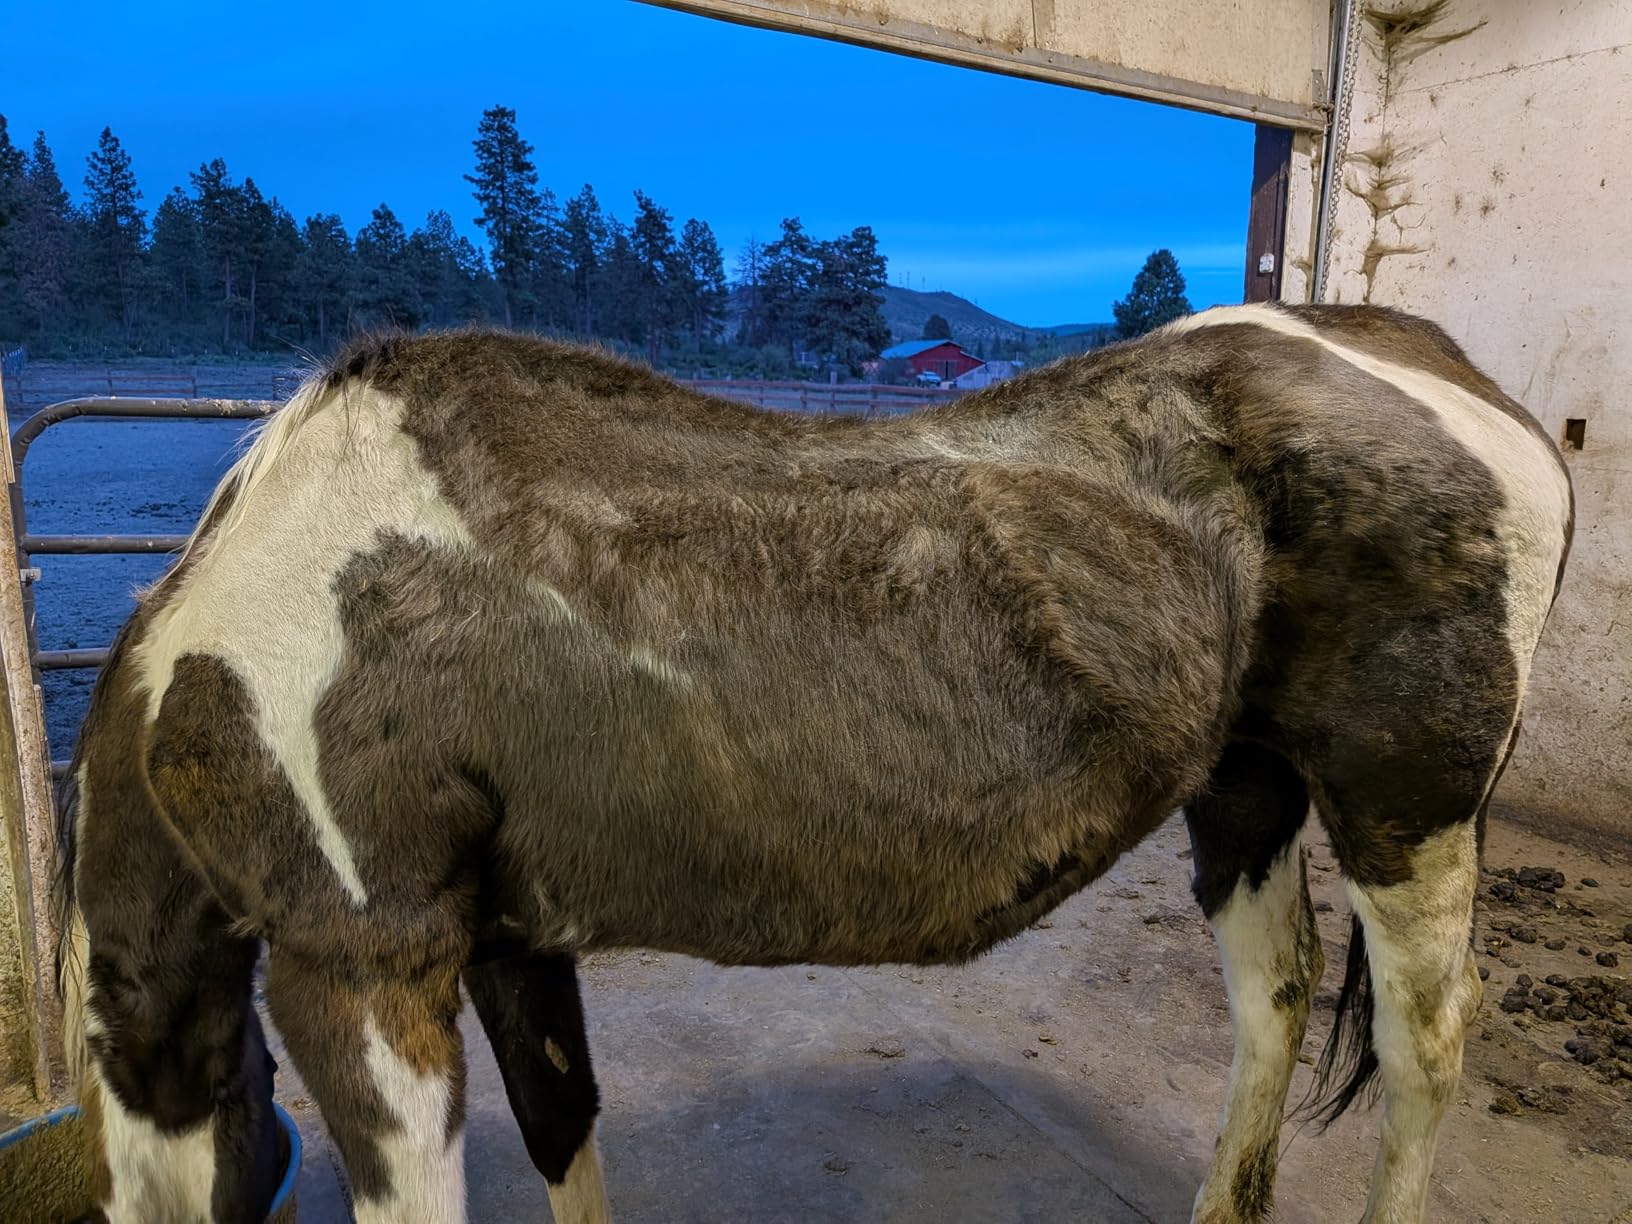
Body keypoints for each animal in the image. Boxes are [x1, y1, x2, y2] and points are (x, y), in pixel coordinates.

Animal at [54, 302, 1573, 1223]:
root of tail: (1454, 378)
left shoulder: (364, 972)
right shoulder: (506, 942)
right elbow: (562, 1124)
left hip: (1405, 809)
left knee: (1425, 1045)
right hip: (1245, 787)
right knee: (1275, 1001)